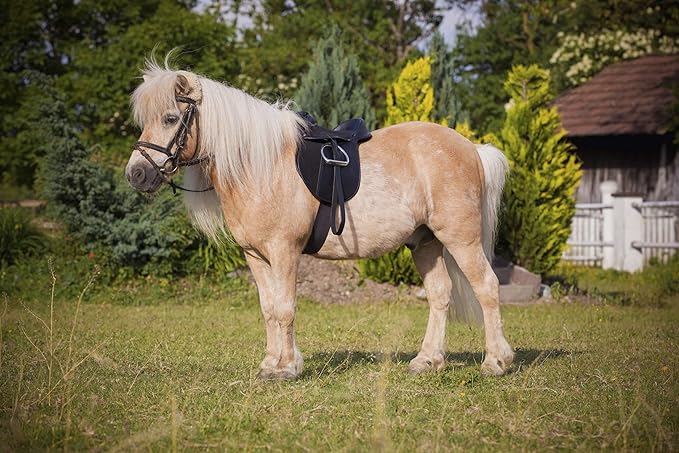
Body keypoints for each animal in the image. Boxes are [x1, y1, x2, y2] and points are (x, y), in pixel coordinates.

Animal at [125, 60, 514, 380]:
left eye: (170, 118)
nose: (137, 174)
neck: (262, 166)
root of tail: (473, 149)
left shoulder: (284, 251)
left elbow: (285, 308)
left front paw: (285, 368)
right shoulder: (255, 256)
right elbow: (268, 309)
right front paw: (270, 364)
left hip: (460, 239)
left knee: (487, 287)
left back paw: (496, 361)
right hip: (425, 242)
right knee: (439, 295)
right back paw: (427, 361)